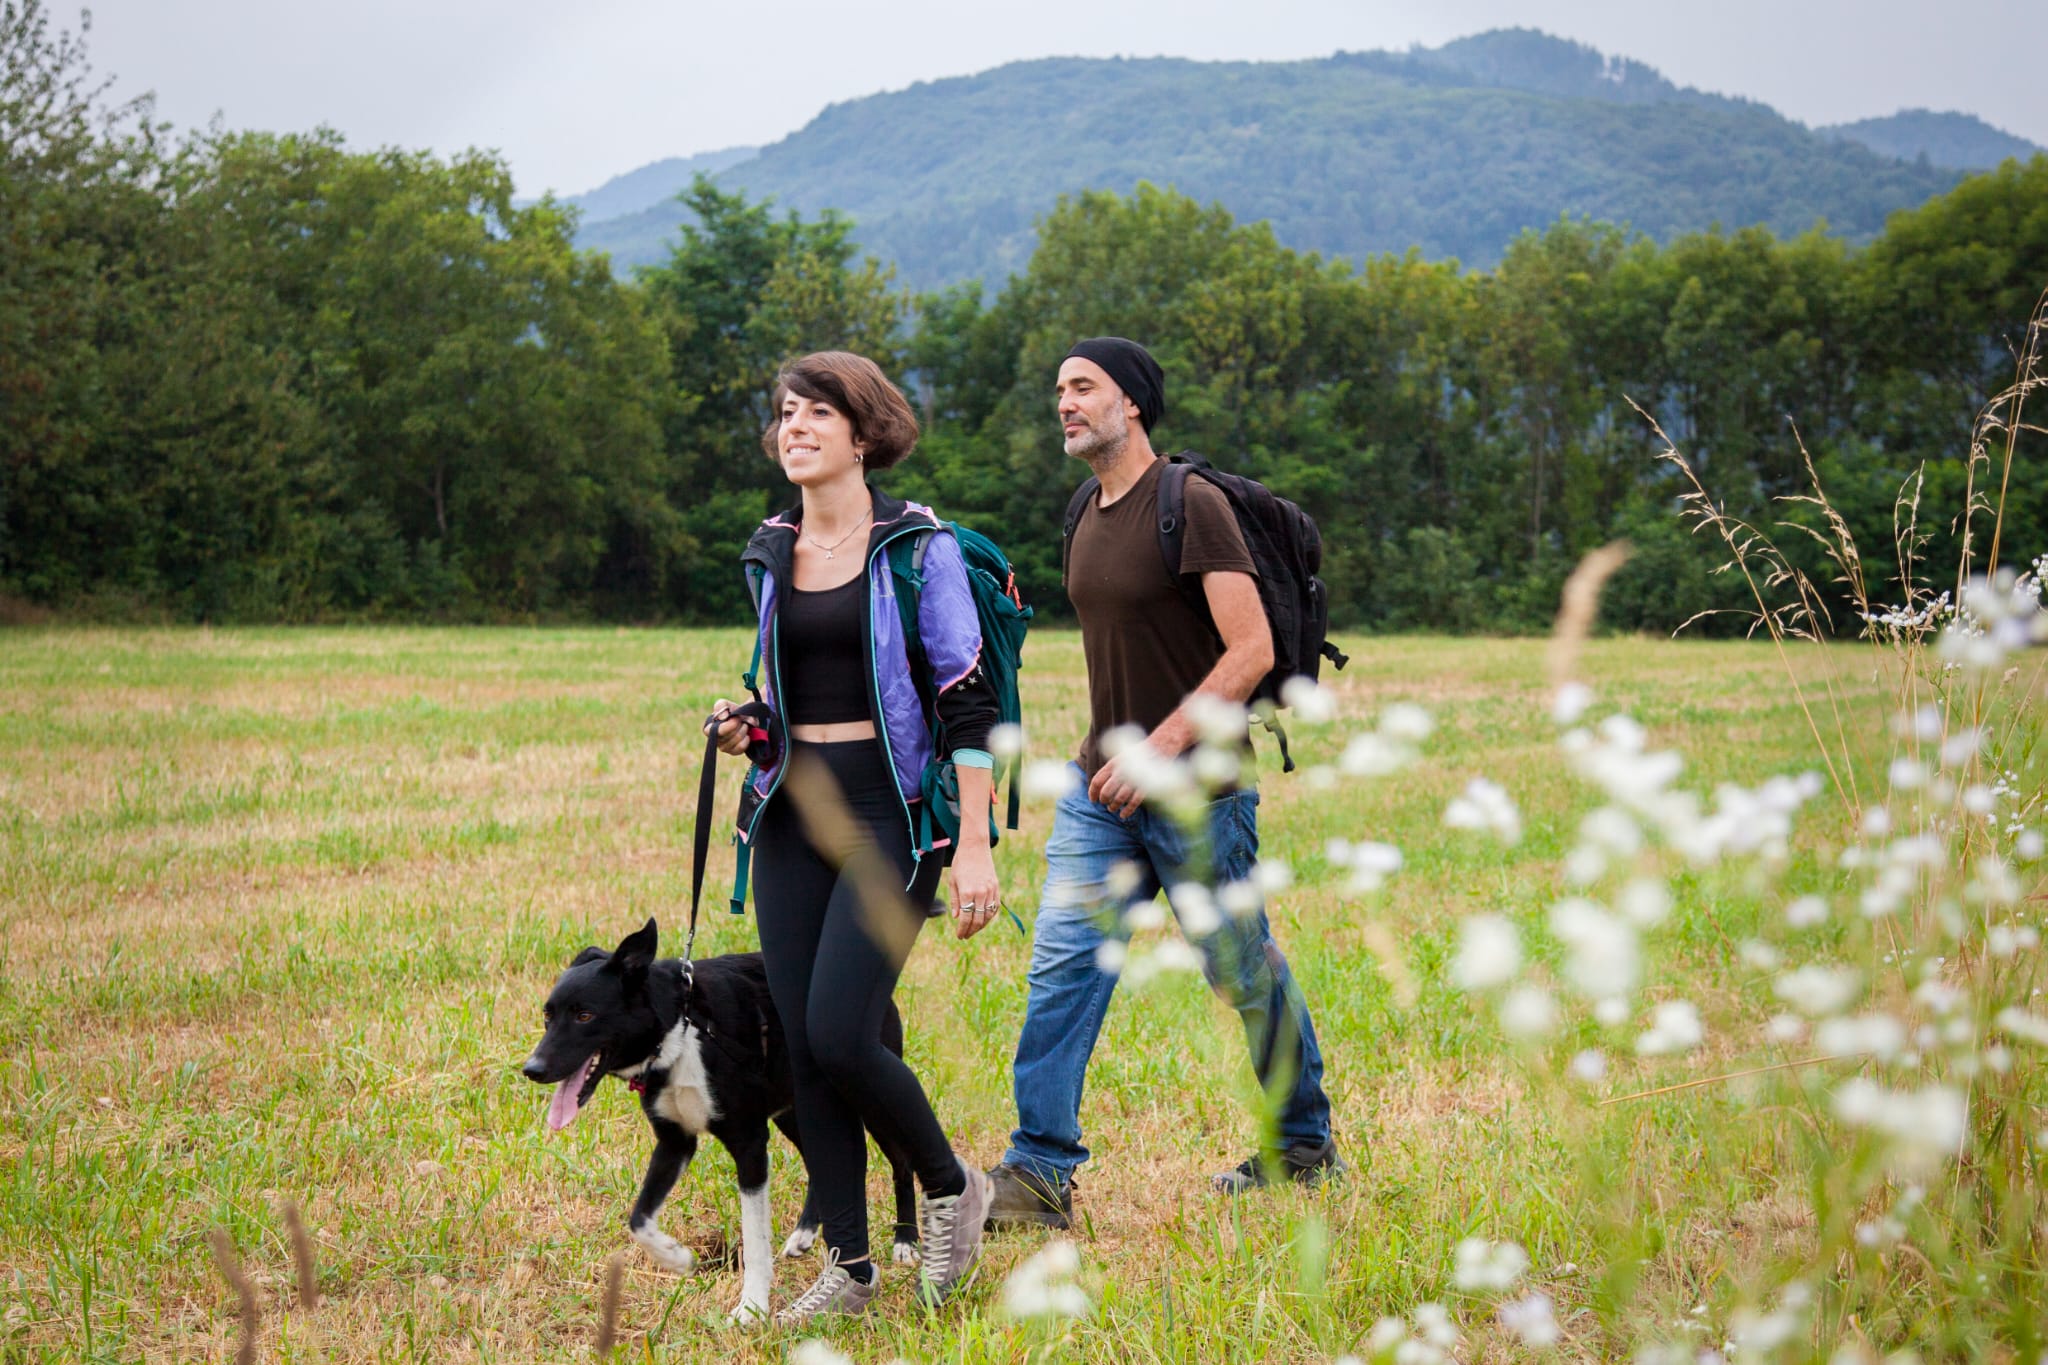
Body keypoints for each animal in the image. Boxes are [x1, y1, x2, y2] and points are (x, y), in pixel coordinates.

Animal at [524, 925, 917, 1317]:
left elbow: (755, 1239)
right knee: (817, 1160)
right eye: (547, 1016)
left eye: (585, 1016)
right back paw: (804, 1233)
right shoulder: (675, 1142)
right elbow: (639, 1220)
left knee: (900, 1162)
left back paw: (906, 1241)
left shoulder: (749, 1144)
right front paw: (678, 1258)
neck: (681, 1031)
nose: (532, 1069)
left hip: (866, 1096)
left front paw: (752, 1308)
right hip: (795, 1109)